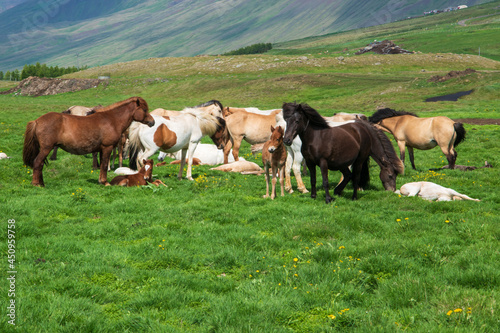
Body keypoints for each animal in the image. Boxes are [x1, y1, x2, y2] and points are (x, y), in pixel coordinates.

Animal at [22, 95, 154, 187]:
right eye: (144, 109)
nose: (152, 122)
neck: (111, 120)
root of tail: (37, 121)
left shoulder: (101, 149)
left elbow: (102, 165)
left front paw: (101, 181)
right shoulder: (107, 147)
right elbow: (104, 165)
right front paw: (105, 182)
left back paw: (41, 183)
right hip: (46, 148)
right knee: (37, 162)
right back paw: (37, 184)